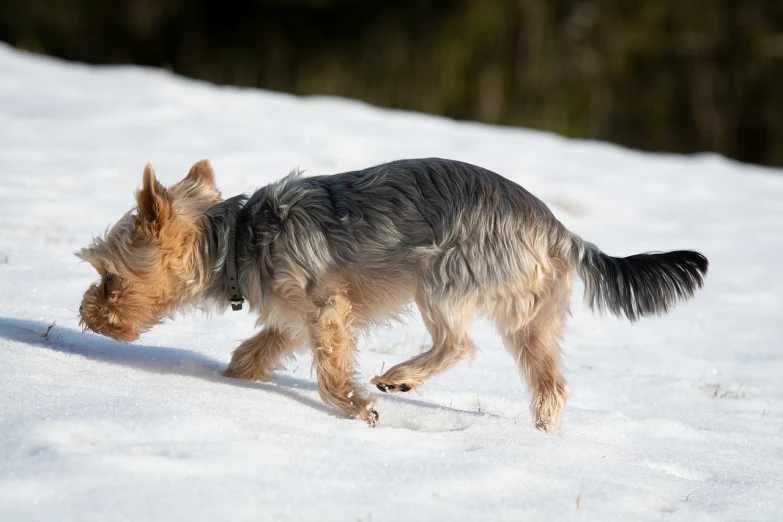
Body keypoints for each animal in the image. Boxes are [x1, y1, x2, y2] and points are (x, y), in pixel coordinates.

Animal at [78, 158, 712, 430]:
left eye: (108, 276)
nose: (86, 314)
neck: (235, 241)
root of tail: (556, 228)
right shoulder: (290, 317)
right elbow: (251, 352)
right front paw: (232, 382)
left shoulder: (323, 305)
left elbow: (332, 373)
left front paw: (359, 408)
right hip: (529, 314)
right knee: (550, 382)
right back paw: (540, 436)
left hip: (444, 274)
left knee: (458, 344)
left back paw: (401, 377)